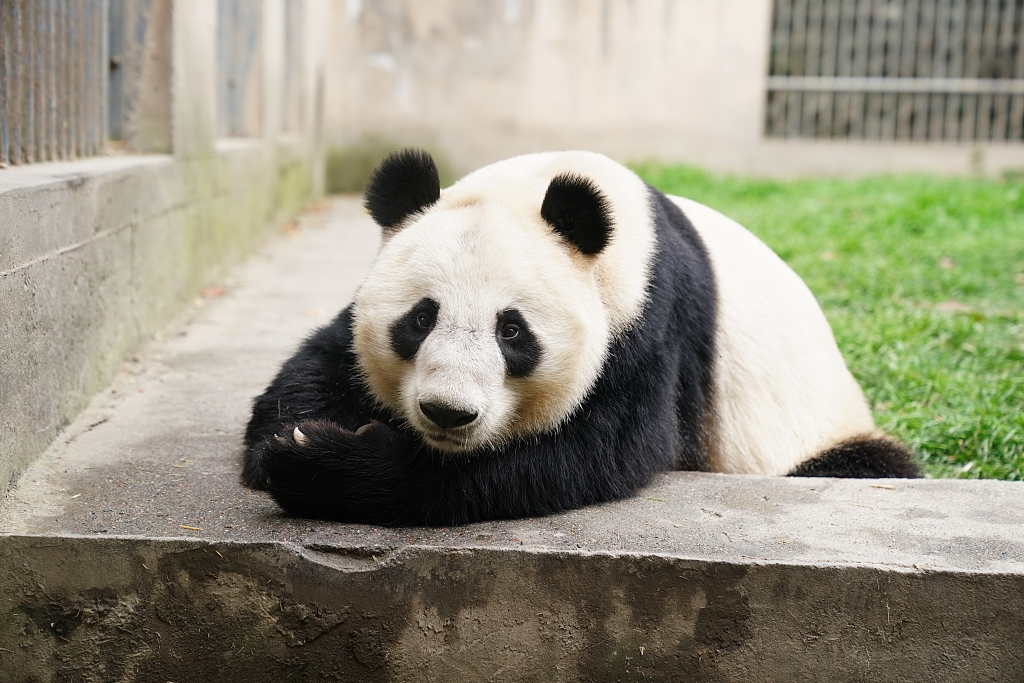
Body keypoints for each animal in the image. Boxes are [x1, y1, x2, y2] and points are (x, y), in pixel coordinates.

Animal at [242, 149, 920, 526]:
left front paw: (322, 463)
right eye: (419, 319)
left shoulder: (651, 317)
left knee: (861, 464)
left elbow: (592, 451)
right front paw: (288, 439)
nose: (448, 413)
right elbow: (323, 360)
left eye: (512, 331)